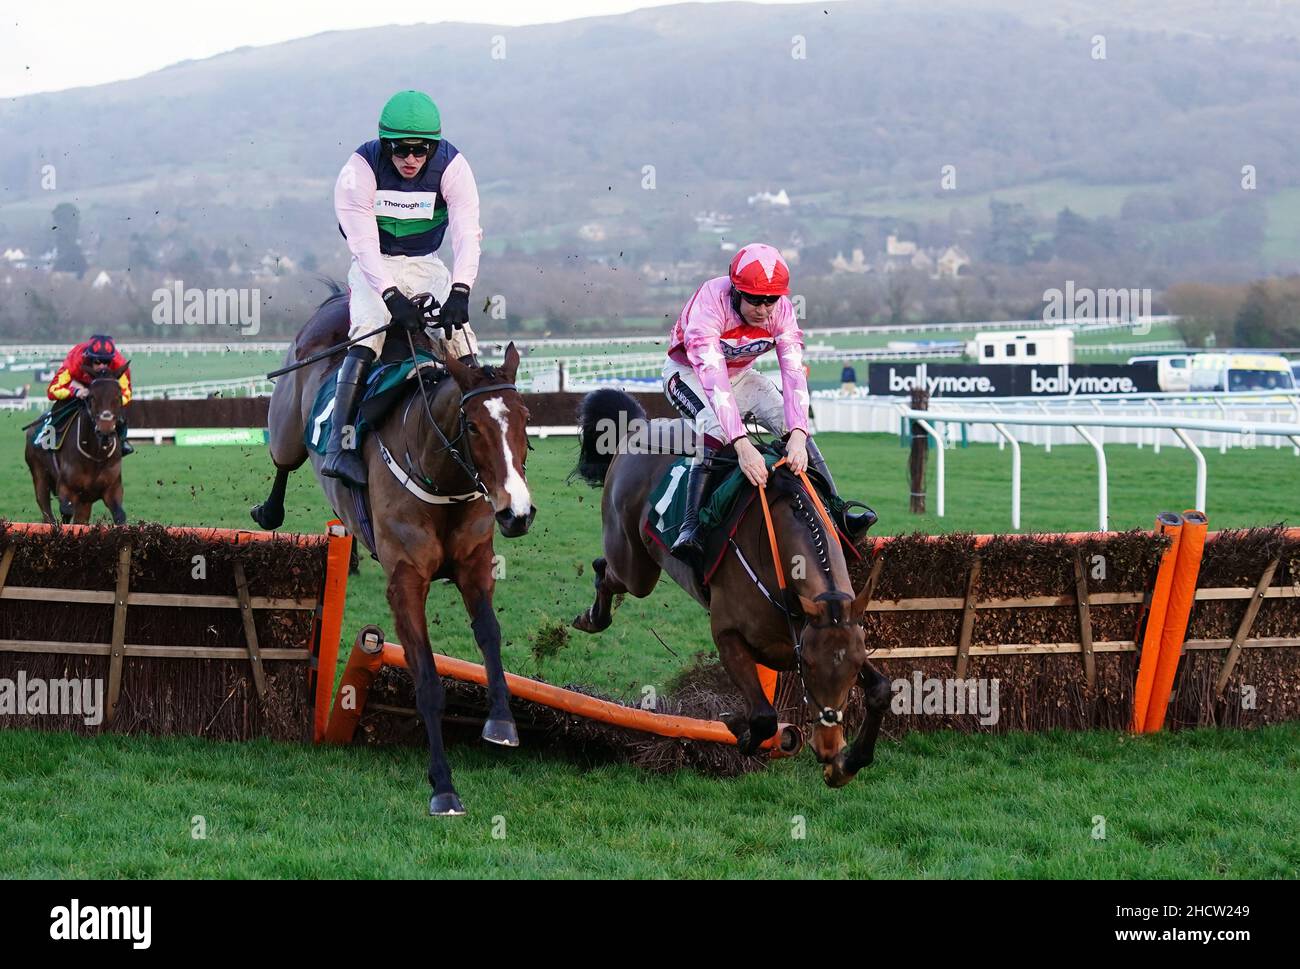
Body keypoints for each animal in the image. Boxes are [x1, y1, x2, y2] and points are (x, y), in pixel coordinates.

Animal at [25, 371, 128, 525]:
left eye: (119, 396)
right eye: (92, 397)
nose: (105, 431)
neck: (95, 456)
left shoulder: (112, 489)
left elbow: (120, 516)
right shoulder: (66, 488)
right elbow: (66, 511)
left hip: (85, 500)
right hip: (39, 475)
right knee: (46, 511)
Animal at [250, 288, 535, 816]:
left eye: (525, 419)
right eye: (473, 425)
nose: (517, 512)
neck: (439, 476)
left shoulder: (474, 565)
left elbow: (490, 635)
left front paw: (502, 722)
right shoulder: (405, 580)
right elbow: (427, 681)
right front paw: (443, 786)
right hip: (285, 431)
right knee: (283, 460)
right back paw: (270, 510)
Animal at [572, 384, 894, 785]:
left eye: (851, 672)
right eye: (809, 669)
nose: (829, 748)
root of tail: (636, 429)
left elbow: (881, 689)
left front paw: (850, 761)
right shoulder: (728, 636)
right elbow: (763, 717)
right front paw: (737, 728)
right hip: (635, 566)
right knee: (608, 570)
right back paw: (592, 617)